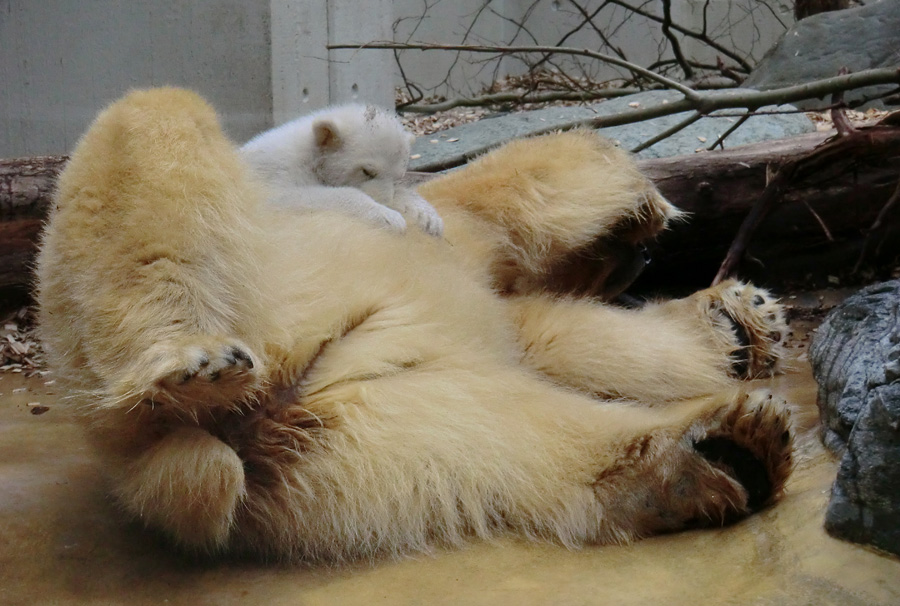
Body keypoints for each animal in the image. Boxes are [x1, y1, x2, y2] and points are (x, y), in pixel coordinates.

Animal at [37, 88, 796, 564]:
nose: (640, 255)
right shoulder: (470, 222)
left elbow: (566, 342)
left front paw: (739, 324)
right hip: (185, 293)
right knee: (151, 125)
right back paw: (189, 365)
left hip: (352, 440)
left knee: (501, 425)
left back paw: (722, 450)